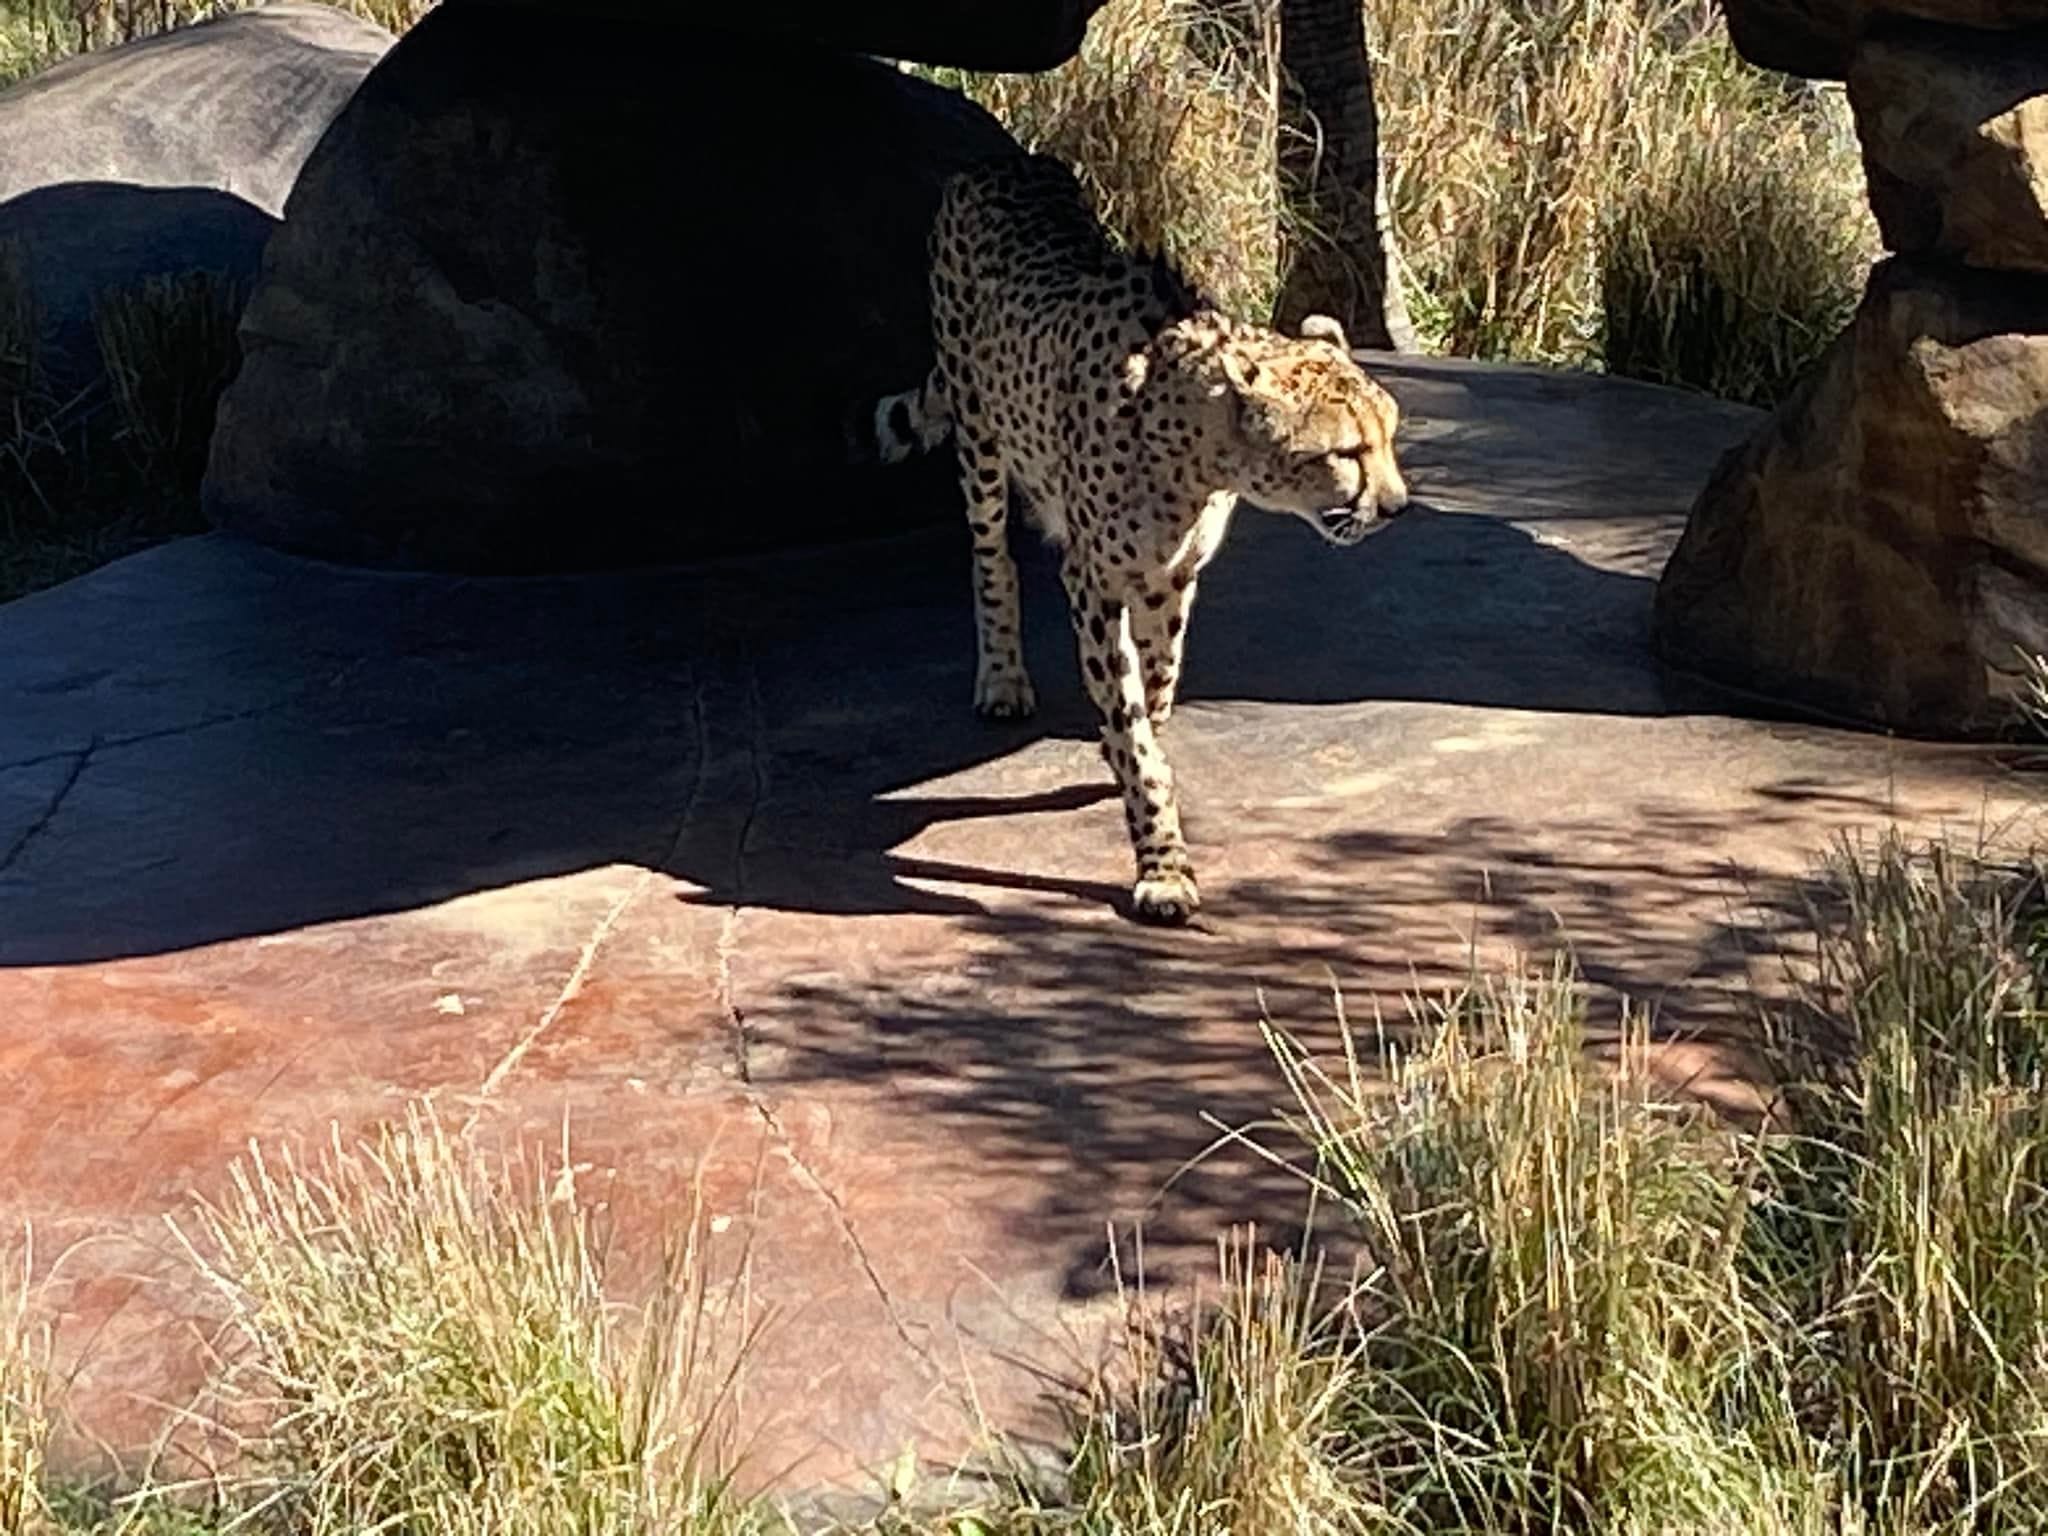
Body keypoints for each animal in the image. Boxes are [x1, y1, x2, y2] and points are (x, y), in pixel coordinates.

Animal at [860, 156, 1409, 925]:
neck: (1195, 445)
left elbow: (1158, 678)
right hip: (980, 435)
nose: (1395, 506)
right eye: (1347, 452)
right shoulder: (1095, 583)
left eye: (1389, 436)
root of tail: (1008, 161)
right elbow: (1128, 711)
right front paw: (1162, 861)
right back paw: (1002, 676)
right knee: (992, 557)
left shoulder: (1169, 574)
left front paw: (1136, 746)